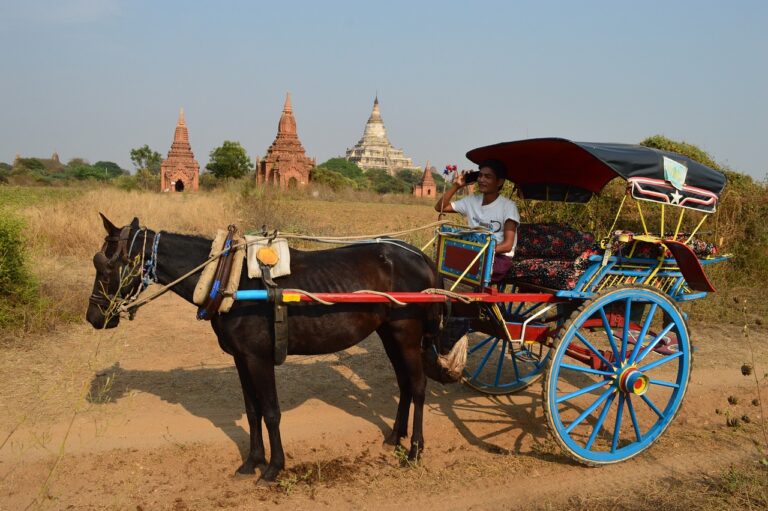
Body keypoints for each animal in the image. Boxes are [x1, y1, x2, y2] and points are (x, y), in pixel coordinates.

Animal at [85, 214, 444, 482]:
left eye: (105, 265)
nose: (93, 317)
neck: (228, 281)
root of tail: (420, 256)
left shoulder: (259, 358)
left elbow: (271, 412)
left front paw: (273, 468)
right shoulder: (241, 358)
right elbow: (253, 411)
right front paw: (252, 462)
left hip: (405, 333)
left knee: (418, 386)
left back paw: (415, 449)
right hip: (389, 333)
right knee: (404, 384)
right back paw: (394, 436)